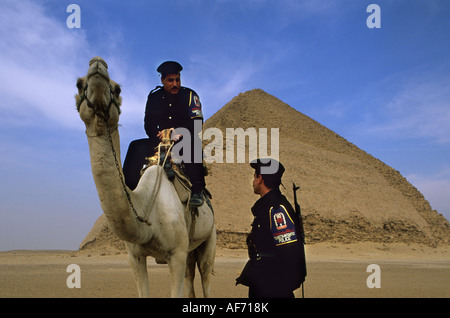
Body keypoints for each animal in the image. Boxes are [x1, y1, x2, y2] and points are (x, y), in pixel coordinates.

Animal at [75, 57, 216, 298]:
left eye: (118, 88)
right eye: (78, 84)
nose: (97, 63)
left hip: (209, 238)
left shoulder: (176, 254)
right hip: (190, 249)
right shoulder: (135, 257)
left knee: (205, 276)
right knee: (190, 277)